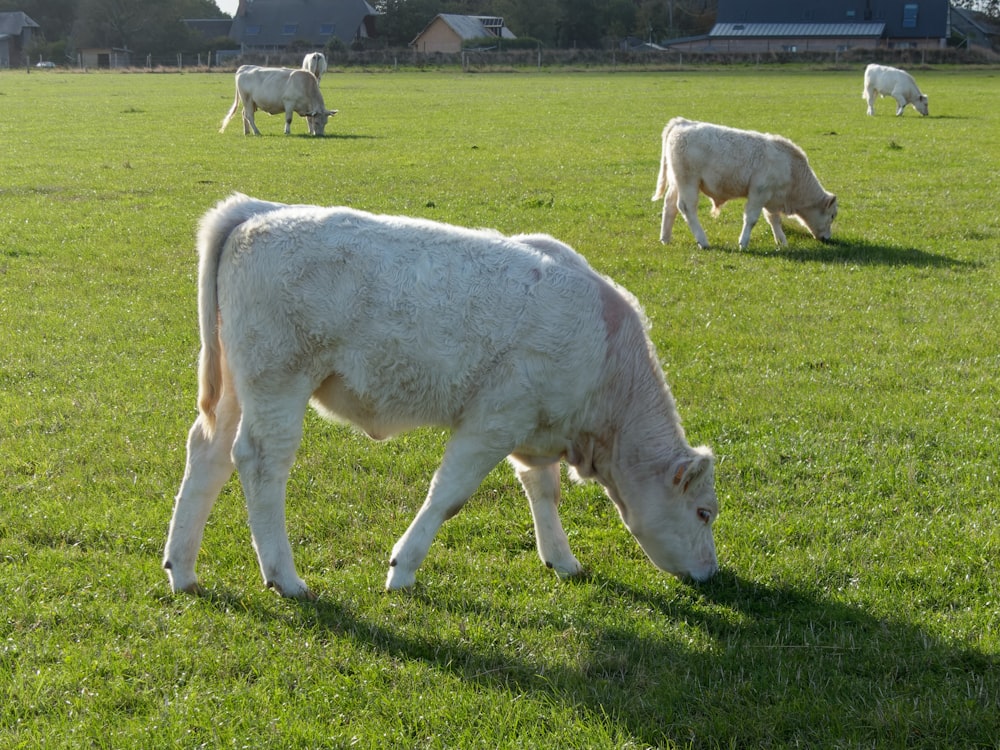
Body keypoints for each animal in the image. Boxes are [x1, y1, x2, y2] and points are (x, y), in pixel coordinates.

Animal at [166, 192, 728, 600]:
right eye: (704, 512)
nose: (712, 573)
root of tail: (257, 210)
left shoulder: (536, 424)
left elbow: (543, 490)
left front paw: (562, 559)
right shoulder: (493, 422)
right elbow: (449, 494)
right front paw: (402, 569)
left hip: (237, 383)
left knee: (208, 453)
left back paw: (182, 570)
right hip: (277, 378)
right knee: (260, 462)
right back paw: (284, 577)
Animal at [652, 117, 840, 251]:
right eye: (832, 216)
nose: (828, 238)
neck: (791, 169)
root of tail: (682, 123)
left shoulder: (770, 198)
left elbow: (774, 220)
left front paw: (782, 241)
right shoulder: (758, 194)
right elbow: (751, 219)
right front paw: (743, 243)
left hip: (677, 183)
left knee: (670, 205)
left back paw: (665, 238)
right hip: (688, 182)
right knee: (686, 208)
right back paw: (703, 241)